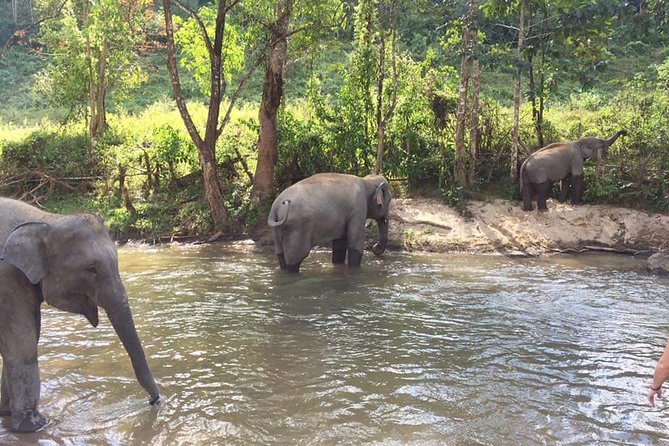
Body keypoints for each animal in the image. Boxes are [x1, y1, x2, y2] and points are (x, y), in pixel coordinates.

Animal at [0, 198, 160, 433]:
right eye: (91, 269)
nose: (153, 401)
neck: (46, 219)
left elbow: (27, 338)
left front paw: (6, 413)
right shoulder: (6, 279)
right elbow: (22, 345)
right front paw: (33, 427)